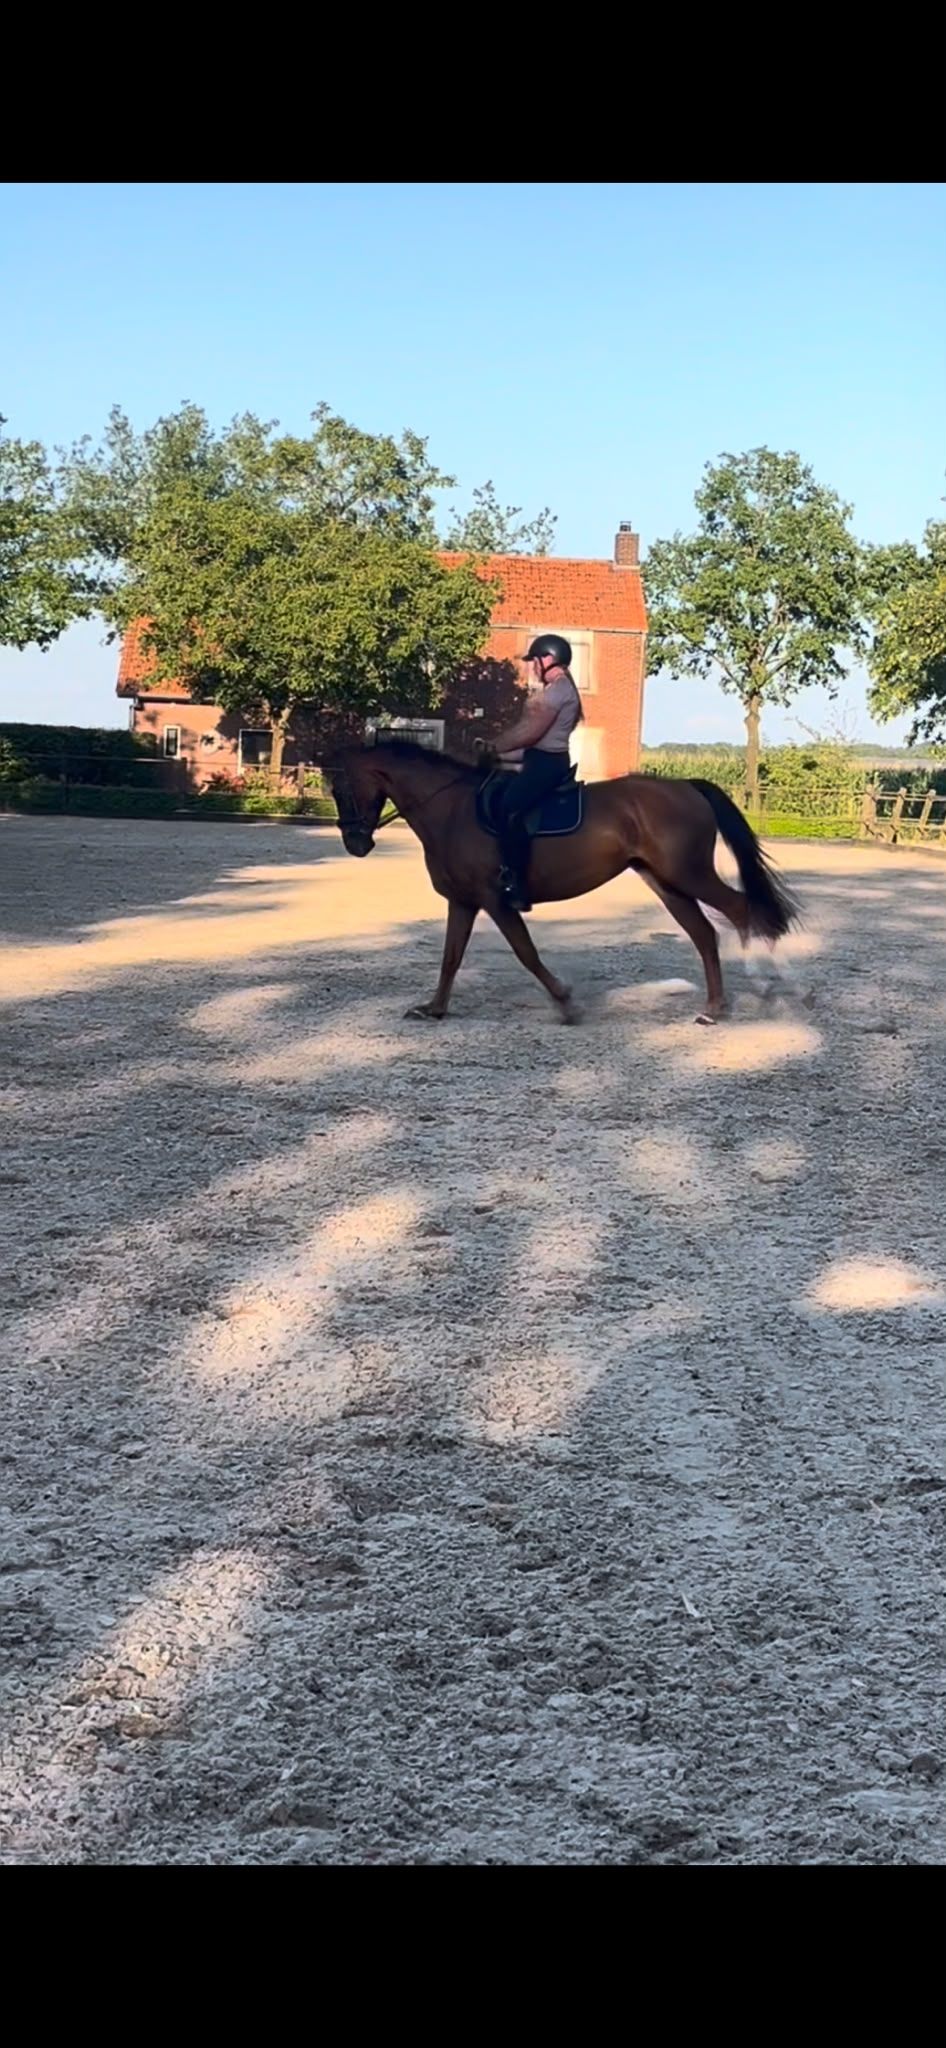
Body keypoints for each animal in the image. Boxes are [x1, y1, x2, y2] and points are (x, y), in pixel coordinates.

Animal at [323, 741, 801, 1026]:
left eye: (341, 789)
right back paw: (713, 1007)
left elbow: (526, 953)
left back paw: (762, 989)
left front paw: (567, 1003)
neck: (451, 809)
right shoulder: (463, 901)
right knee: (704, 934)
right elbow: (451, 958)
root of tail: (686, 786)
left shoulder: (496, 900)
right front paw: (434, 1009)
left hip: (690, 874)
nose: (355, 844)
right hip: (667, 882)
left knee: (740, 909)